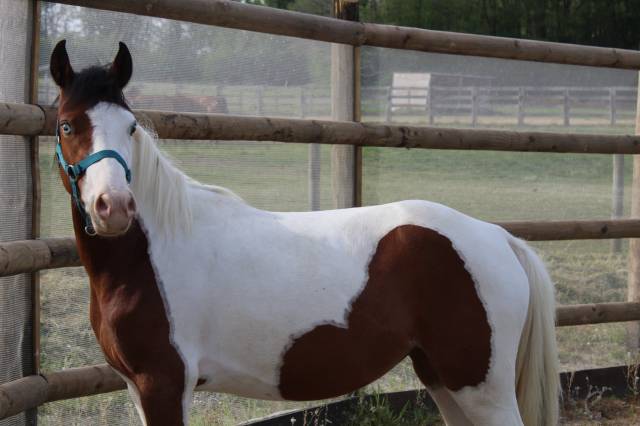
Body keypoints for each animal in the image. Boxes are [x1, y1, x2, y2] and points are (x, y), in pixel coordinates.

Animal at [50, 39, 559, 426]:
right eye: (67, 125)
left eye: (131, 126)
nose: (114, 207)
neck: (150, 255)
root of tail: (498, 238)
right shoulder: (137, 387)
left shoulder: (164, 384)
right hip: (441, 376)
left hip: (480, 386)